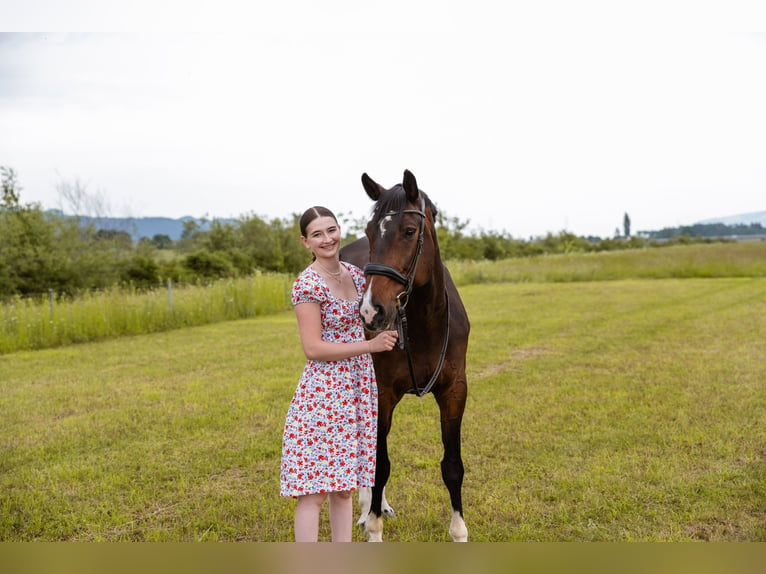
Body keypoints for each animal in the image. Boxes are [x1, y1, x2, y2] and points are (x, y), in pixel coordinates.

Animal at [340, 169, 472, 544]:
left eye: (410, 231)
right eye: (370, 231)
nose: (371, 312)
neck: (422, 323)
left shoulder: (455, 390)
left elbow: (452, 465)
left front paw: (459, 531)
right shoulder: (383, 394)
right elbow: (380, 465)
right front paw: (372, 525)